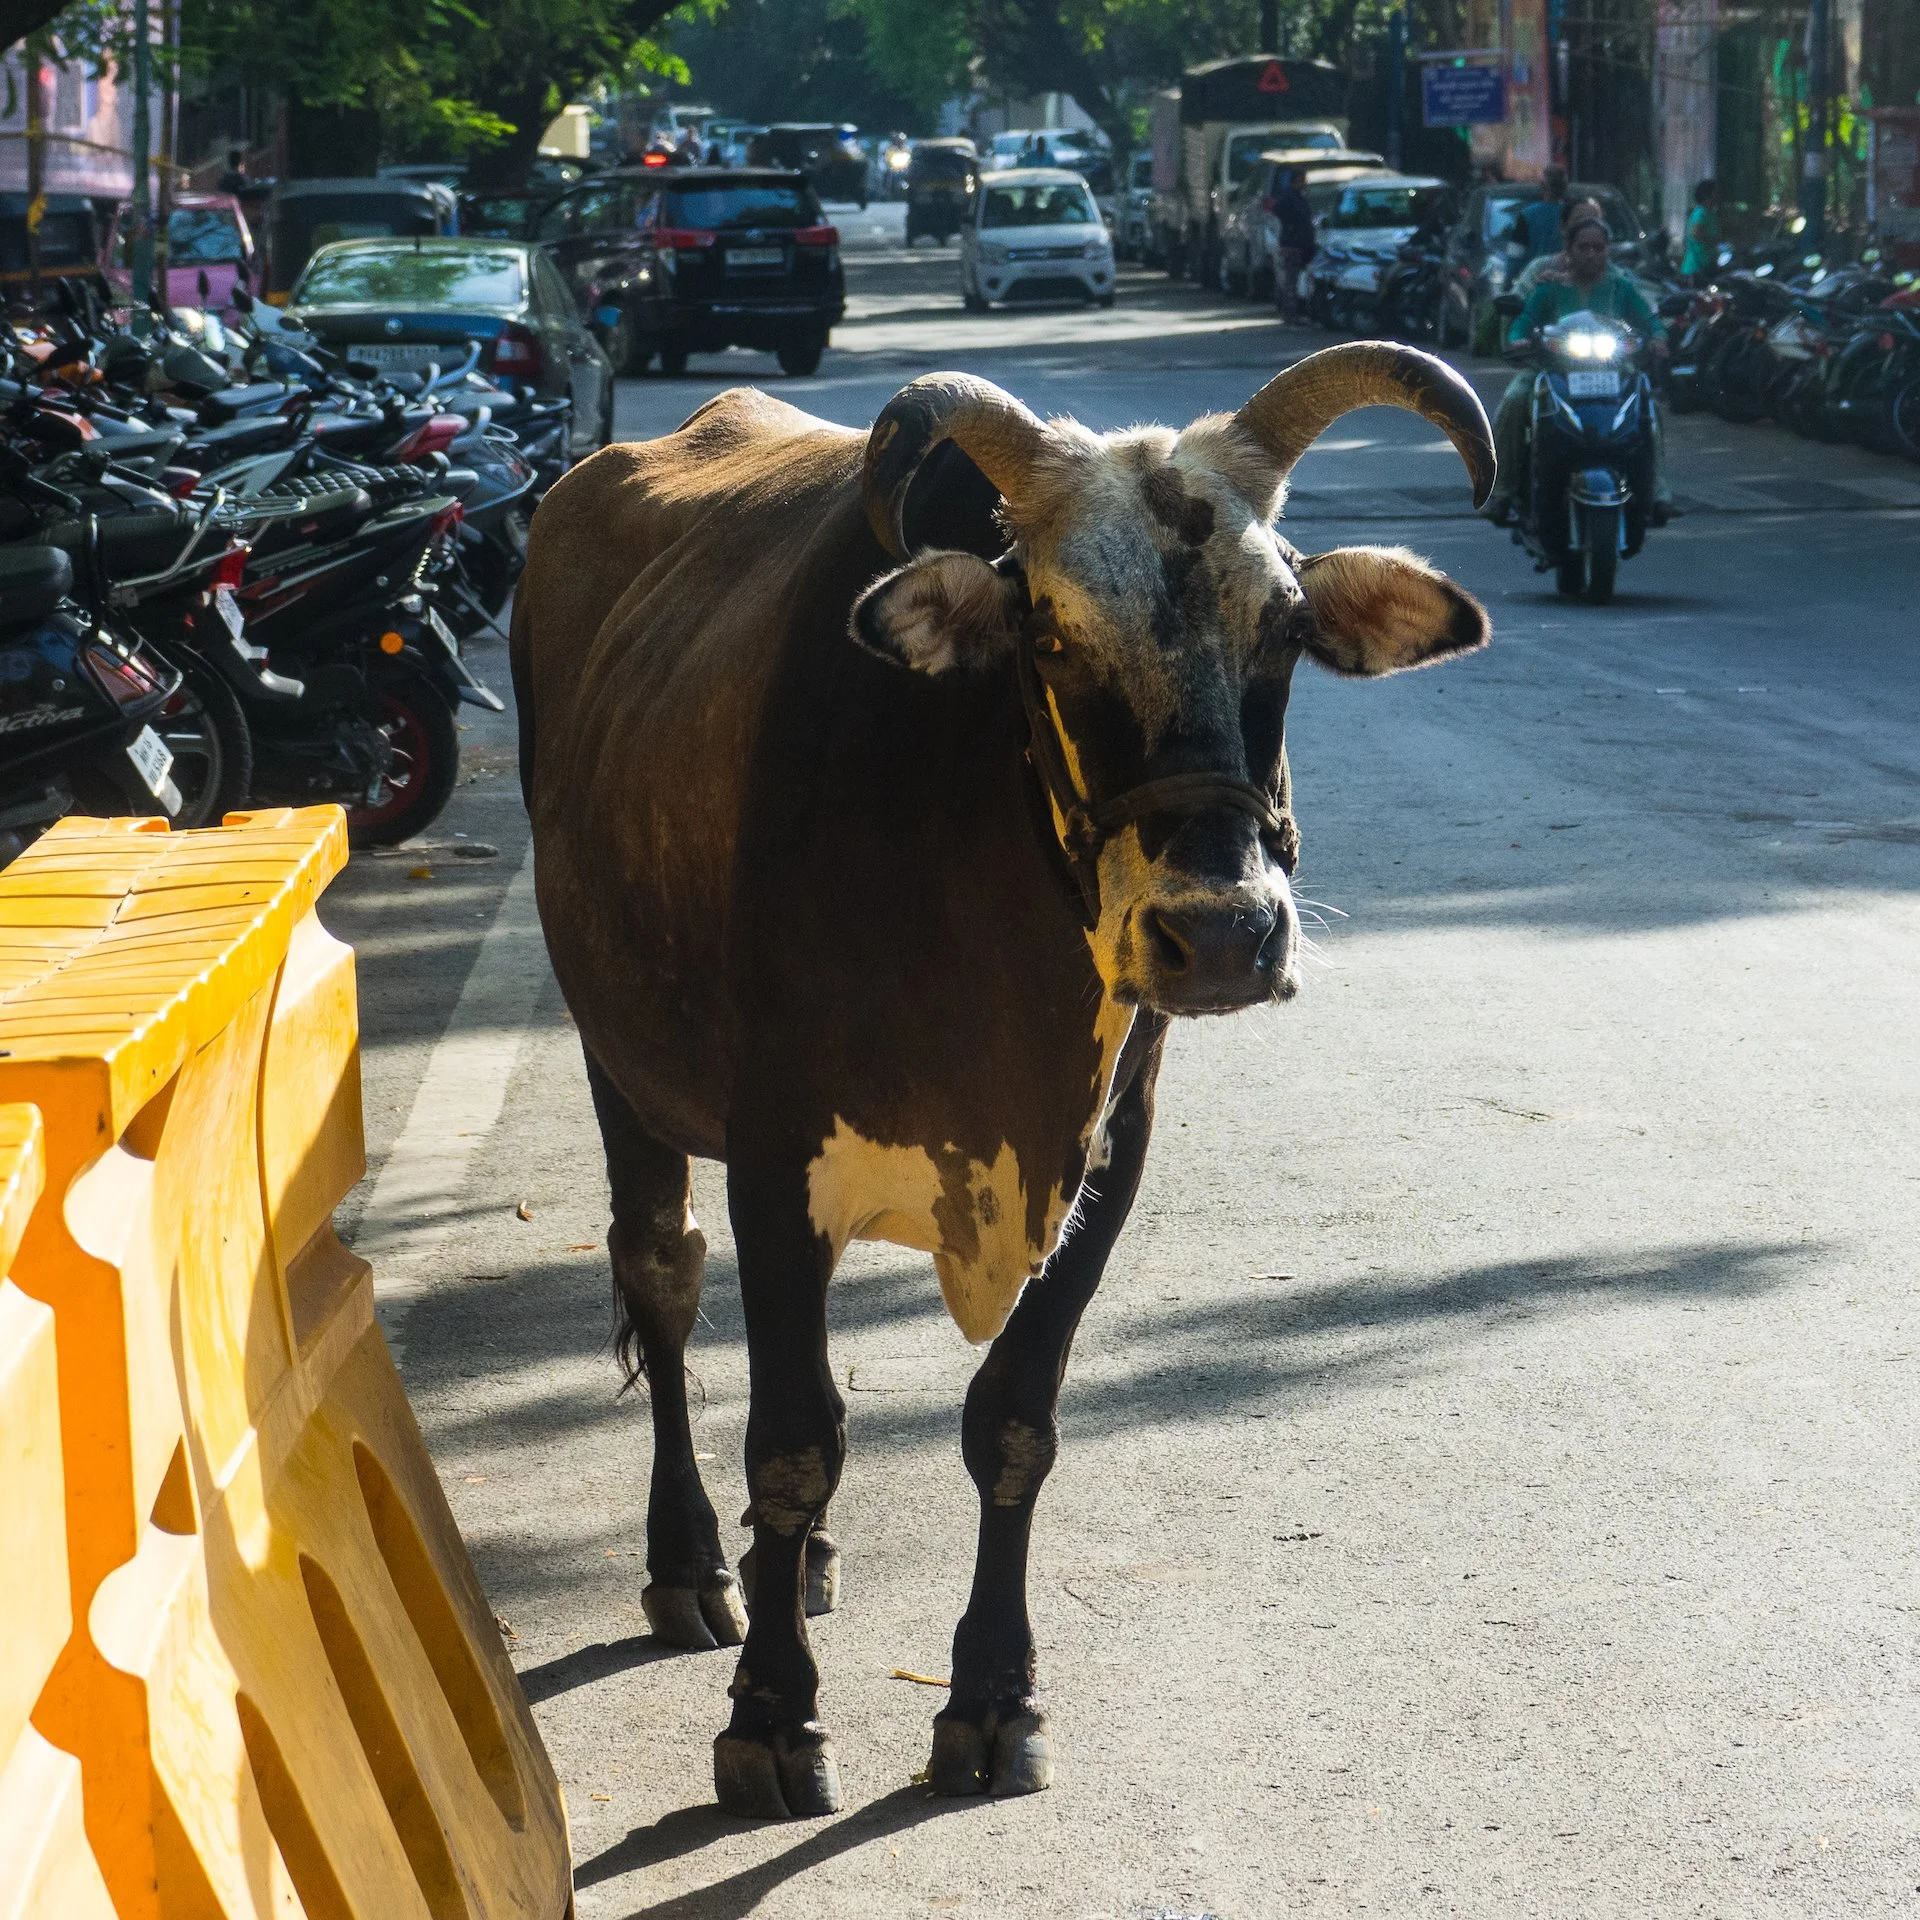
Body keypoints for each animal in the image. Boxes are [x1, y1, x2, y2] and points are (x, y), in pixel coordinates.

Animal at [510, 342, 1495, 1820]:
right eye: (1048, 634)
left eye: (1283, 627)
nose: (1223, 934)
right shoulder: (776, 1158)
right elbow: (792, 1438)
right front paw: (771, 1721)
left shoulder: (1104, 1161)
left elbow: (1013, 1427)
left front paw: (988, 1699)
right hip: (620, 1066)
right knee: (663, 1279)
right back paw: (692, 1564)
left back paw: (799, 1566)